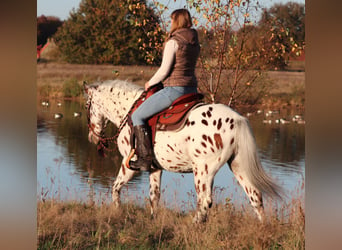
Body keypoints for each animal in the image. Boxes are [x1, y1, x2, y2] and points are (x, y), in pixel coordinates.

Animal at [84, 79, 282, 223]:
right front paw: (153, 219)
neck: (129, 113)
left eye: (87, 106)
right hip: (238, 165)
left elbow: (115, 187)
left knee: (204, 201)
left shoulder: (129, 165)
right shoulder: (155, 168)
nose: (92, 137)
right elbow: (154, 196)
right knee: (255, 196)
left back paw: (194, 225)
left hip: (203, 171)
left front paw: (116, 211)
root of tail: (237, 119)